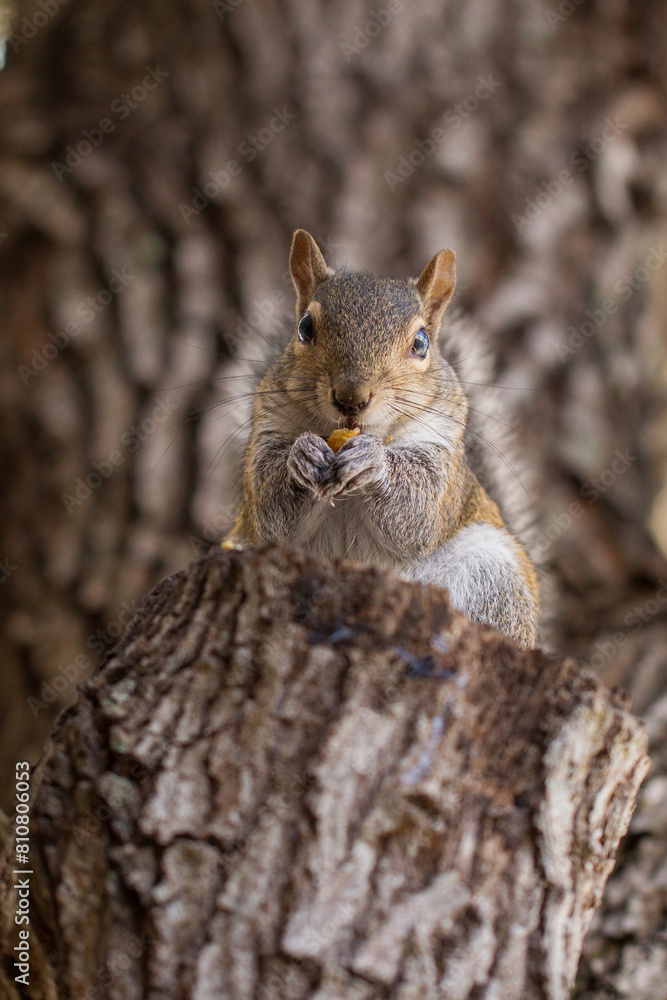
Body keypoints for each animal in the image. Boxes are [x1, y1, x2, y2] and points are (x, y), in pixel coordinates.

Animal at [223, 230, 540, 648]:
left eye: (421, 343)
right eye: (304, 327)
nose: (350, 398)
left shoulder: (442, 450)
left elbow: (420, 510)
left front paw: (373, 463)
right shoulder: (267, 429)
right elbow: (271, 510)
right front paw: (302, 456)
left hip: (492, 577)